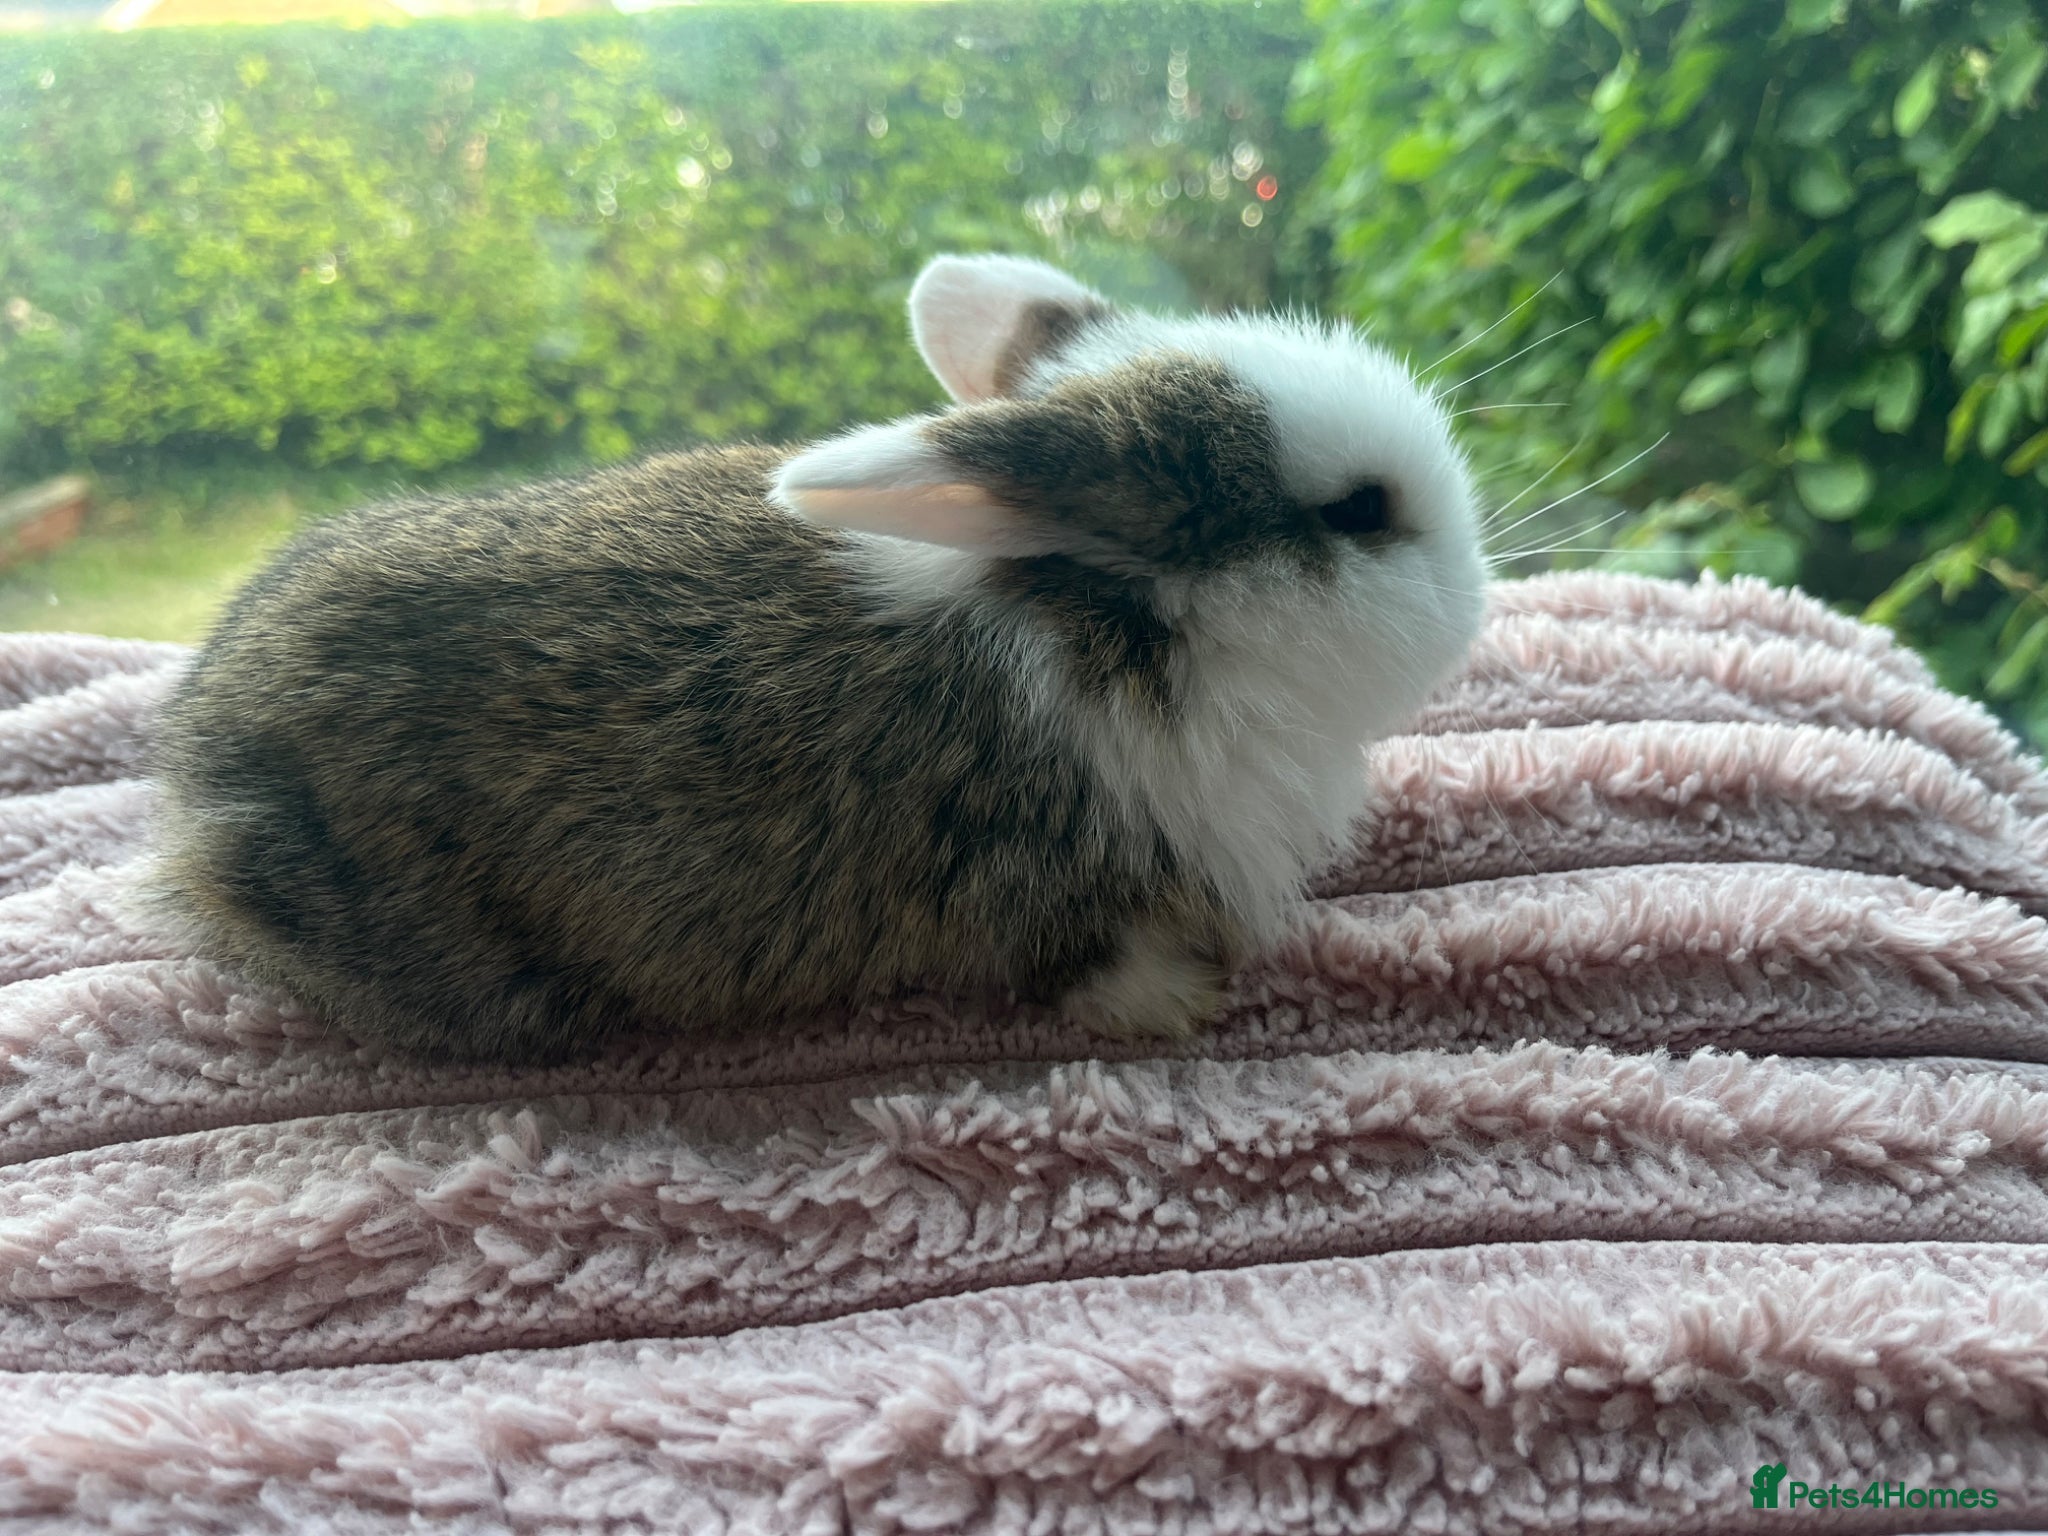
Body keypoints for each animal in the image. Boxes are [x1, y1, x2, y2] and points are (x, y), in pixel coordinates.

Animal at [148, 253, 1487, 1065]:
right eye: (1358, 512)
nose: (1475, 602)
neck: (1134, 633)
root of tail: (201, 785)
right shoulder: (1034, 880)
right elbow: (1079, 967)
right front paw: (1180, 1005)